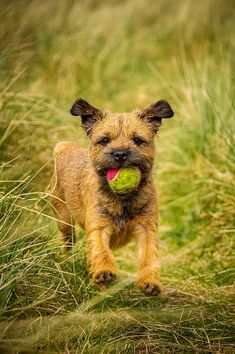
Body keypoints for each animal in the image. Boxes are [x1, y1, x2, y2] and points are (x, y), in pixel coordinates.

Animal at [50, 99, 173, 296]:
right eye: (104, 140)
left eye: (138, 140)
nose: (120, 154)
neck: (123, 199)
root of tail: (66, 149)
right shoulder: (98, 226)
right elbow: (100, 250)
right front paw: (104, 271)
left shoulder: (146, 228)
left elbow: (149, 255)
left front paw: (149, 281)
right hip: (63, 218)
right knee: (68, 237)